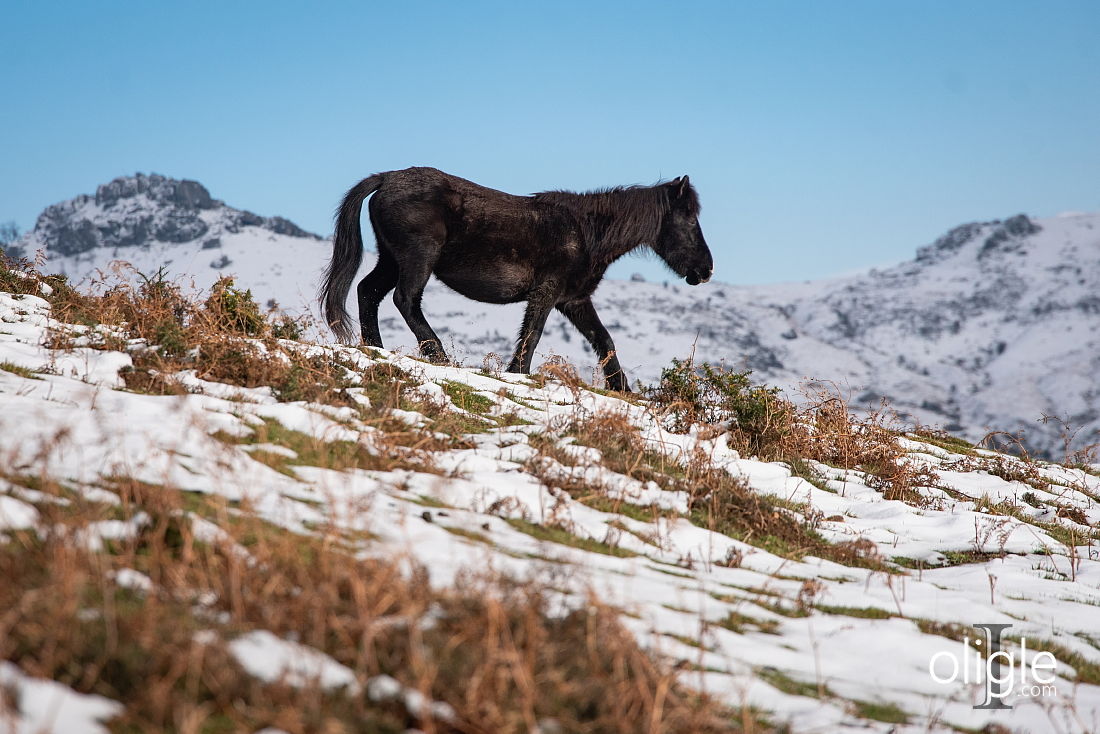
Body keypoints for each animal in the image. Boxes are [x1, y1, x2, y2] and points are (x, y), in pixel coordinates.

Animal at [319, 166, 712, 389]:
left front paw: (622, 389)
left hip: (391, 259)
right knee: (405, 299)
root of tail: (386, 179)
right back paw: (439, 356)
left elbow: (604, 340)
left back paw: (375, 347)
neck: (587, 232)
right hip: (417, 258)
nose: (705, 270)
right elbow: (532, 335)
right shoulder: (546, 293)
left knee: (368, 292)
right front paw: (517, 373)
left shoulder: (574, 301)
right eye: (689, 220)